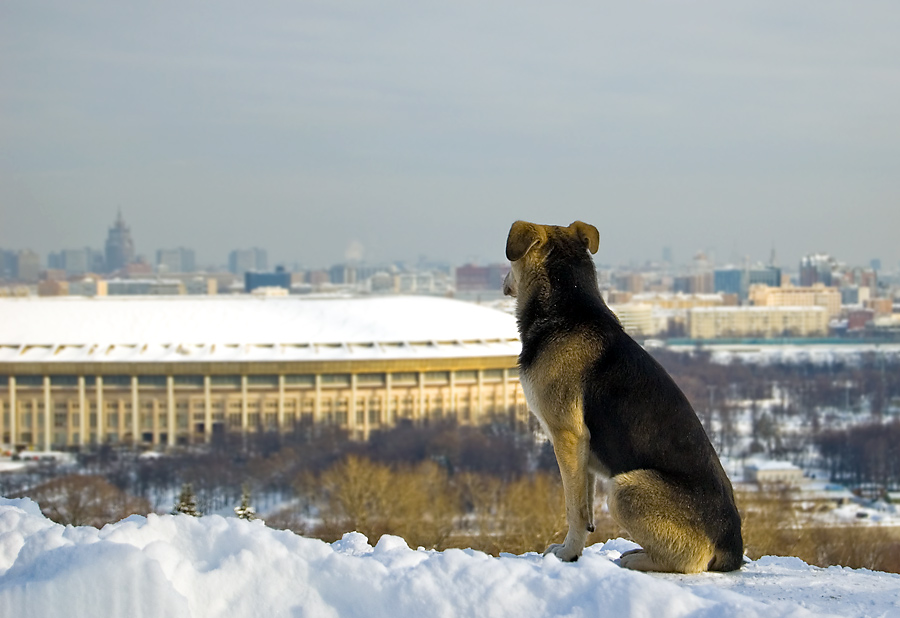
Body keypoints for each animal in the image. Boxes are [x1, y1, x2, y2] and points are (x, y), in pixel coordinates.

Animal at [502, 219, 740, 572]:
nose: (503, 283)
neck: (570, 308)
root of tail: (733, 549)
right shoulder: (582, 450)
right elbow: (585, 507)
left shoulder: (567, 436)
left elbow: (575, 508)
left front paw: (568, 553)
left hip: (624, 487)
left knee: (692, 559)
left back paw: (638, 559)